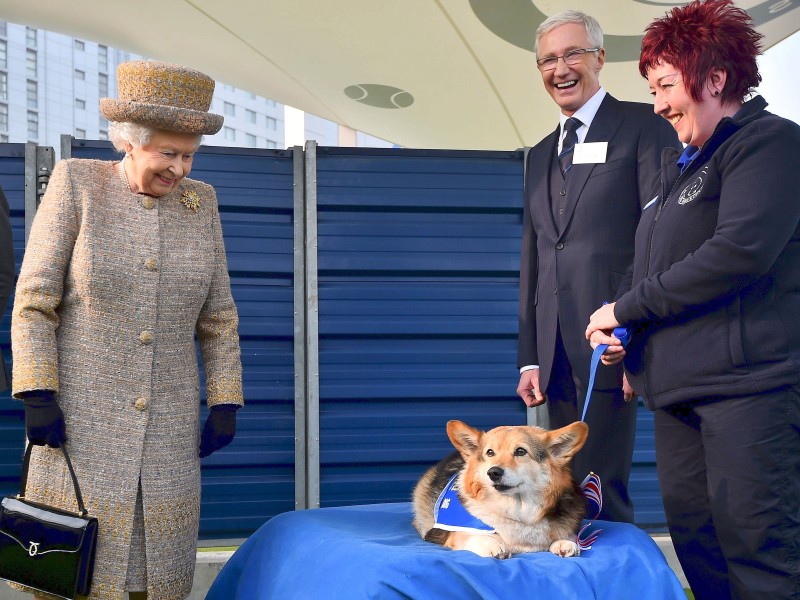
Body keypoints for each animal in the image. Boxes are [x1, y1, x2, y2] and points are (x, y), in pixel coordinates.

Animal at [412, 420, 588, 560]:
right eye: (490, 452)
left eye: (520, 451)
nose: (493, 472)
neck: (517, 511)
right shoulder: (442, 532)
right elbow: (465, 534)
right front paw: (491, 544)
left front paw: (565, 542)